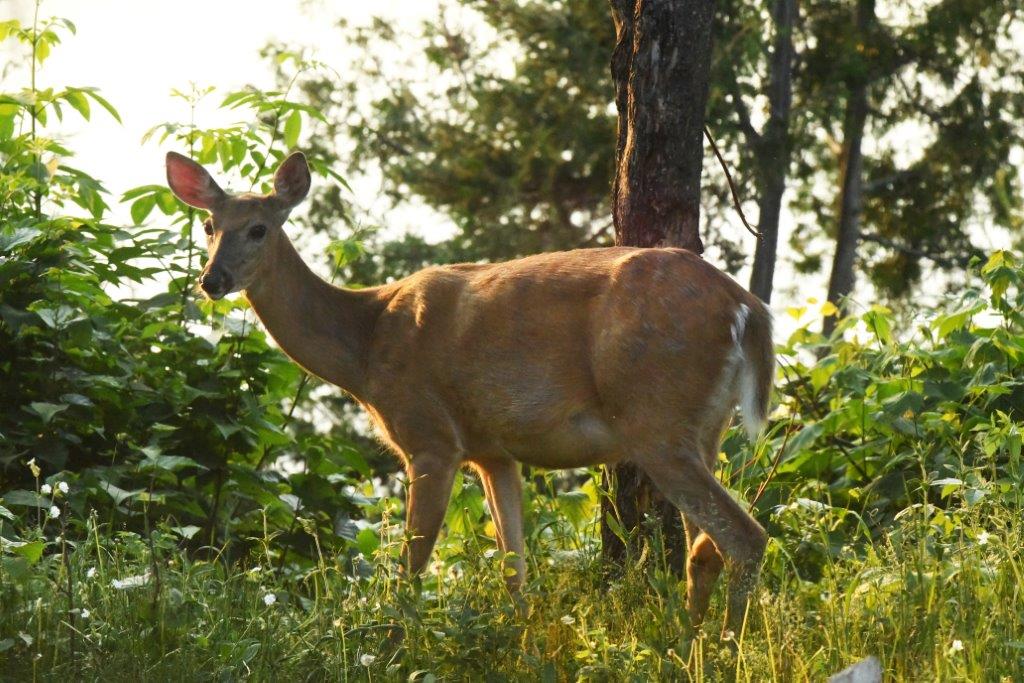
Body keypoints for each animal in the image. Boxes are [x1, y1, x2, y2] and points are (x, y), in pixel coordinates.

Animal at [165, 150, 775, 634]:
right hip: (702, 427)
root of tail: (747, 306)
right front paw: (521, 647)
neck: (366, 344)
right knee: (704, 549)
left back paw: (724, 648)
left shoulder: (430, 437)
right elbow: (515, 571)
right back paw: (690, 647)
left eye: (259, 229)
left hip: (656, 418)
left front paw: (394, 647)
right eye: (209, 227)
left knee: (744, 537)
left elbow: (410, 569)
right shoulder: (493, 450)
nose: (211, 281)